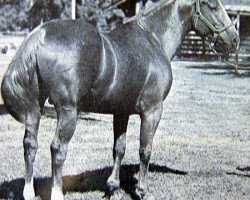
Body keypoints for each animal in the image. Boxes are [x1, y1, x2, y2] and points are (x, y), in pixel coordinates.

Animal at [0, 0, 238, 199]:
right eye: (212, 5)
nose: (234, 39)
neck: (154, 39)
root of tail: (41, 34)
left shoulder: (121, 112)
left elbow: (119, 148)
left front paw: (112, 186)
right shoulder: (152, 110)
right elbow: (145, 149)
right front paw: (142, 190)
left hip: (34, 109)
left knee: (30, 145)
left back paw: (29, 192)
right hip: (68, 111)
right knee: (57, 149)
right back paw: (57, 194)